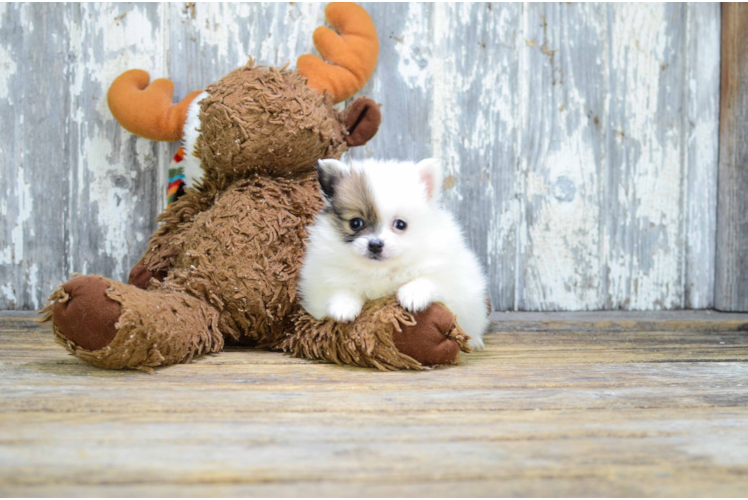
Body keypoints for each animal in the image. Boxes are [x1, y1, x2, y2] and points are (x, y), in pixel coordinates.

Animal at [298, 157, 490, 348]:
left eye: (400, 224)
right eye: (355, 223)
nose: (375, 244)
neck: (380, 270)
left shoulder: (448, 277)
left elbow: (427, 280)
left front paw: (413, 295)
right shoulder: (321, 281)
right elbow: (341, 289)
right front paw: (344, 307)